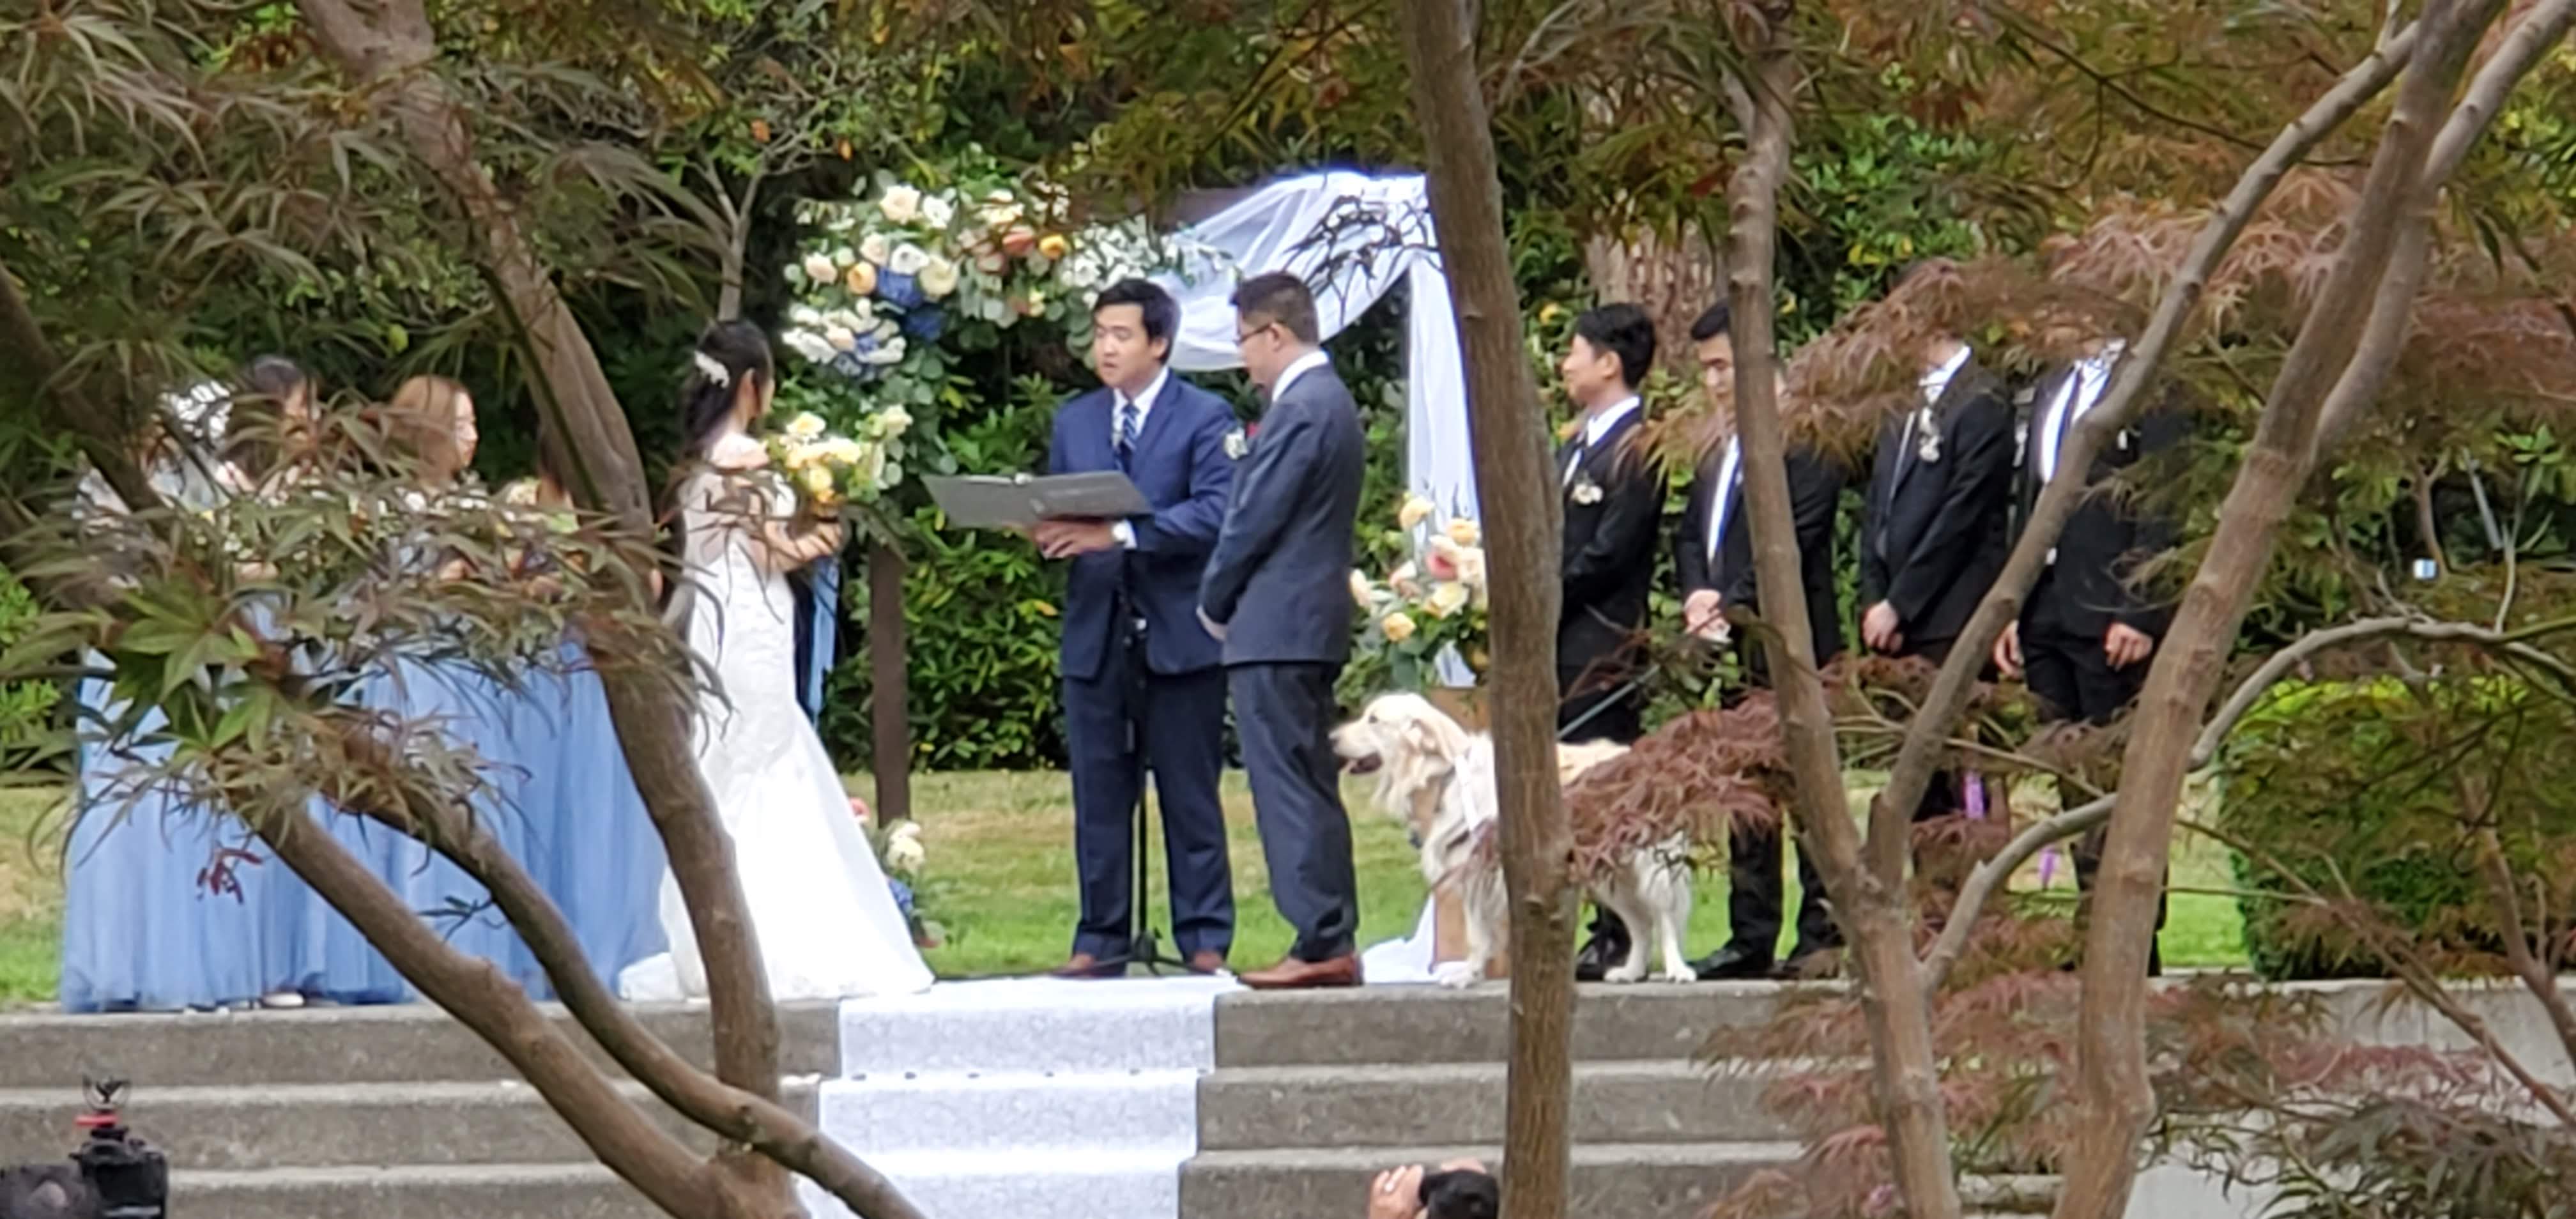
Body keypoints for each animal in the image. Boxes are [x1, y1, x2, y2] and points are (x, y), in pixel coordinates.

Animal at [1339, 691, 1700, 984]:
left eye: (1373, 720)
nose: (1333, 738)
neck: (1445, 774)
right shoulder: (1473, 875)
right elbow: (1478, 935)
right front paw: (1472, 973)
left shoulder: (1486, 873)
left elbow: (1481, 936)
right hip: (1611, 877)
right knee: (1641, 924)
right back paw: (1632, 971)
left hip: (1651, 866)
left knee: (1664, 918)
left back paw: (1676, 970)